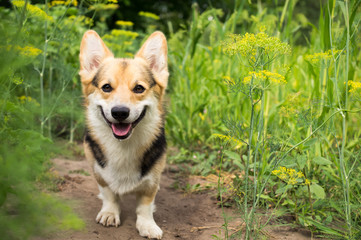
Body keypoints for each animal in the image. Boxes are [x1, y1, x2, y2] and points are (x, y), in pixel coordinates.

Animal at [78, 29, 167, 238]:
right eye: (106, 87)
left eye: (139, 88)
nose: (119, 112)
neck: (123, 146)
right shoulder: (98, 171)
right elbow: (109, 193)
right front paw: (110, 213)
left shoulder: (152, 180)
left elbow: (145, 205)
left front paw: (147, 225)